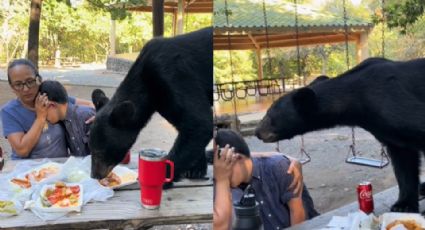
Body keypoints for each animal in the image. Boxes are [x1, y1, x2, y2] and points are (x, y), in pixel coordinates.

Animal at [89, 27, 212, 184]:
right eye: (90, 148)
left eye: (100, 152)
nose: (94, 175)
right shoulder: (163, 99)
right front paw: (196, 169)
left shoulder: (173, 75)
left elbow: (199, 122)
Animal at [255, 57, 424, 212]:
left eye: (269, 115)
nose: (257, 132)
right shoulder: (389, 131)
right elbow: (403, 161)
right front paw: (403, 205)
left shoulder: (395, 103)